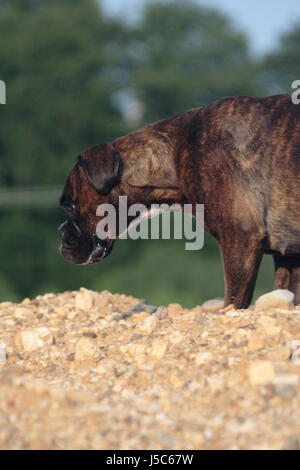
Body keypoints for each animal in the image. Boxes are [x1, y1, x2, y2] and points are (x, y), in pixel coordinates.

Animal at [58, 94, 300, 308]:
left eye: (70, 205)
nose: (61, 232)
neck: (176, 153)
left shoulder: (241, 240)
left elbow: (233, 302)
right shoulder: (288, 258)